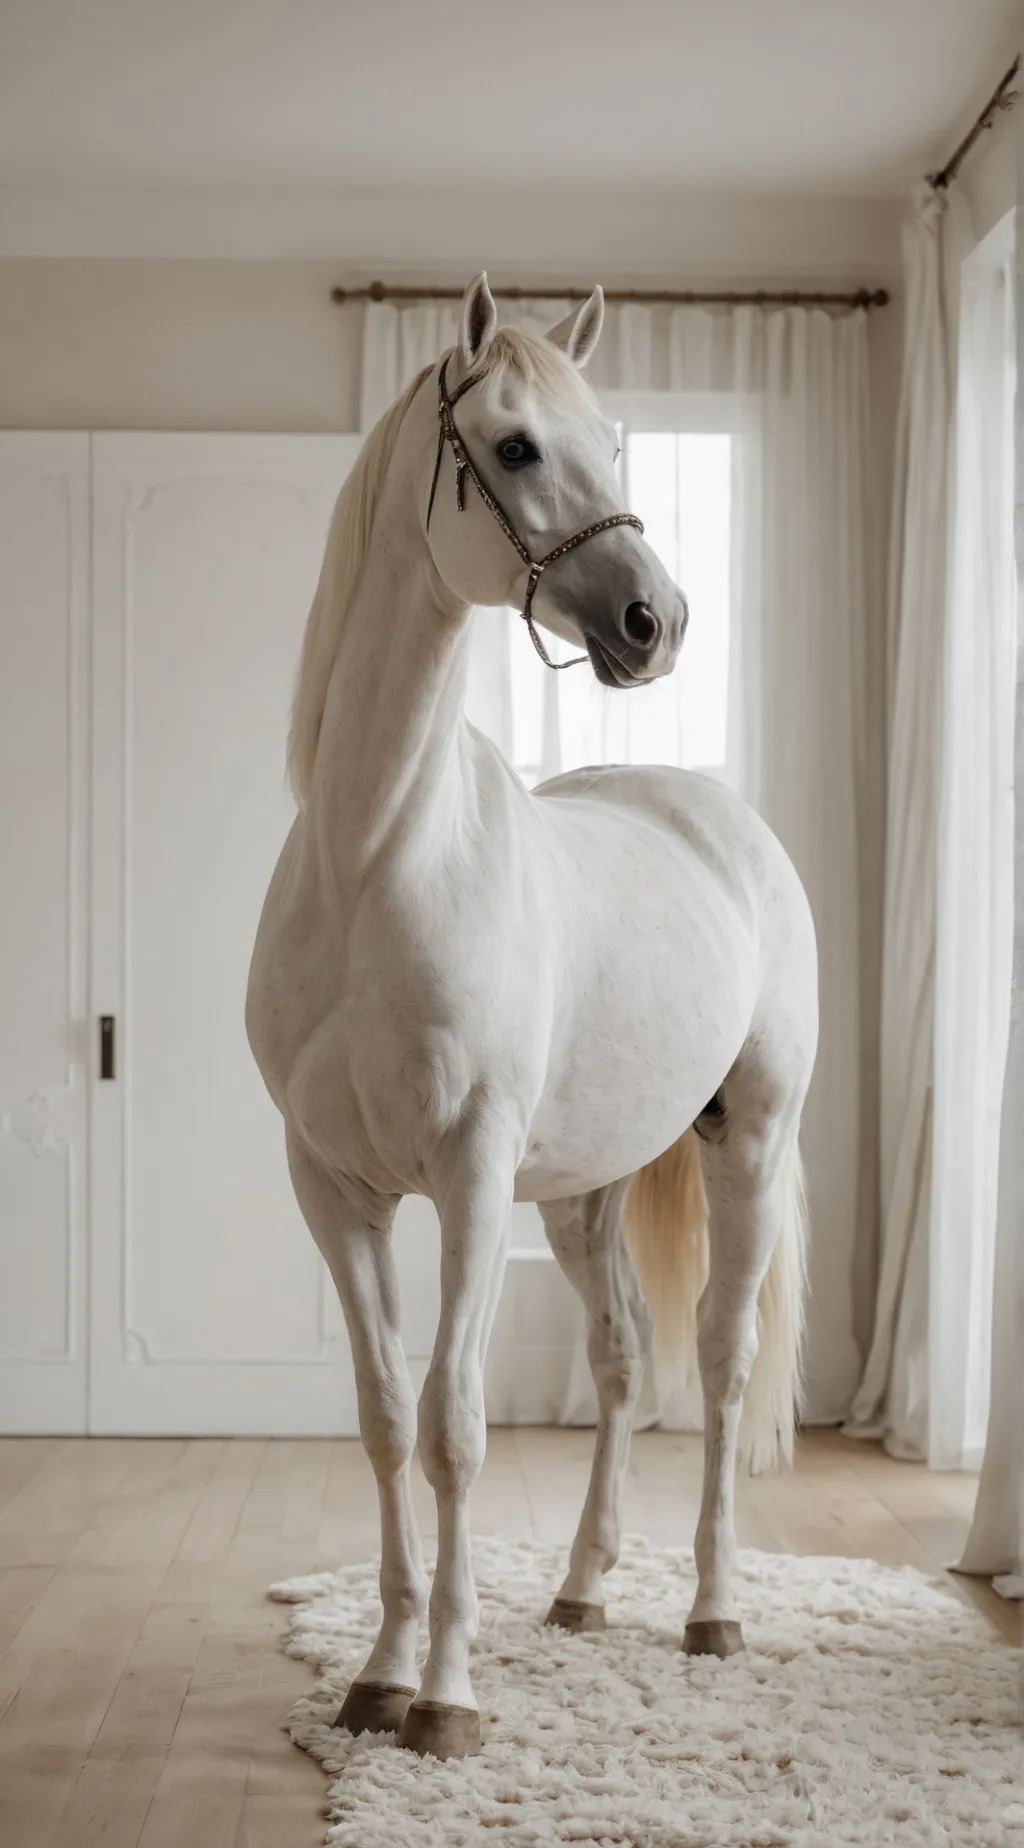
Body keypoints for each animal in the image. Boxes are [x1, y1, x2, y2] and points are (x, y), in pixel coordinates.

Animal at [246, 273, 818, 1761]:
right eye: (512, 447)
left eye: (611, 442)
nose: (655, 623)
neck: (377, 861)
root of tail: (719, 816)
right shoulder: (334, 1188)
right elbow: (386, 1419)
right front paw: (379, 1673)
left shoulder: (465, 1176)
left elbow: (455, 1425)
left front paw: (445, 1696)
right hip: (583, 1190)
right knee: (619, 1362)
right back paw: (580, 1590)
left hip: (749, 1147)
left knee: (720, 1364)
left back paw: (711, 1612)